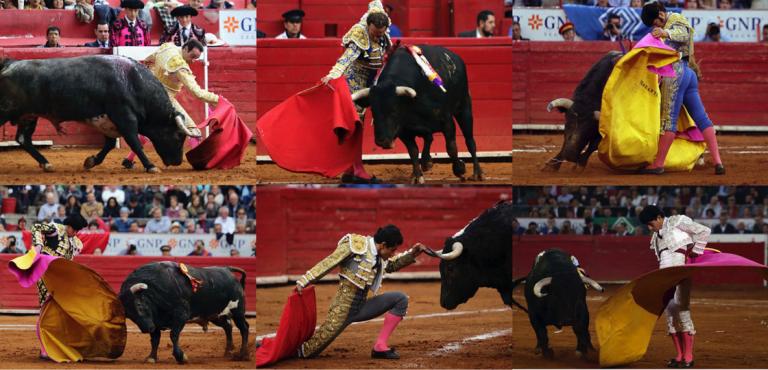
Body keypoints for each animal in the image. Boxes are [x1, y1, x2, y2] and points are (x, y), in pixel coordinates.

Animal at [0, 55, 191, 173]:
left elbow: (109, 145)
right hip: (7, 111)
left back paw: (46, 164)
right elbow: (135, 143)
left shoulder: (108, 123)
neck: (133, 83)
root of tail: (10, 64)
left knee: (23, 139)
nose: (177, 161)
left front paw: (90, 161)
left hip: (28, 115)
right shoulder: (125, 118)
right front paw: (151, 166)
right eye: (179, 136)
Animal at [118, 262, 249, 362]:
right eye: (129, 315)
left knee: (244, 327)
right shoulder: (154, 321)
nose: (146, 329)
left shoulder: (181, 315)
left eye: (139, 305)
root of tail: (227, 269)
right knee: (228, 326)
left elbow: (173, 335)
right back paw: (228, 351)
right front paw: (151, 358)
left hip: (237, 311)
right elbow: (155, 340)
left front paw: (181, 357)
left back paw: (243, 354)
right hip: (216, 315)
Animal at [352, 44, 484, 184]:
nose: (382, 141)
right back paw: (426, 163)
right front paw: (417, 175)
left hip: (464, 108)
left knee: (470, 141)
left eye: (394, 110)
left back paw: (478, 173)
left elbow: (451, 148)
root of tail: (455, 58)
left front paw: (459, 169)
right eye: (373, 111)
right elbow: (413, 151)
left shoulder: (446, 121)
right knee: (429, 138)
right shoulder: (404, 131)